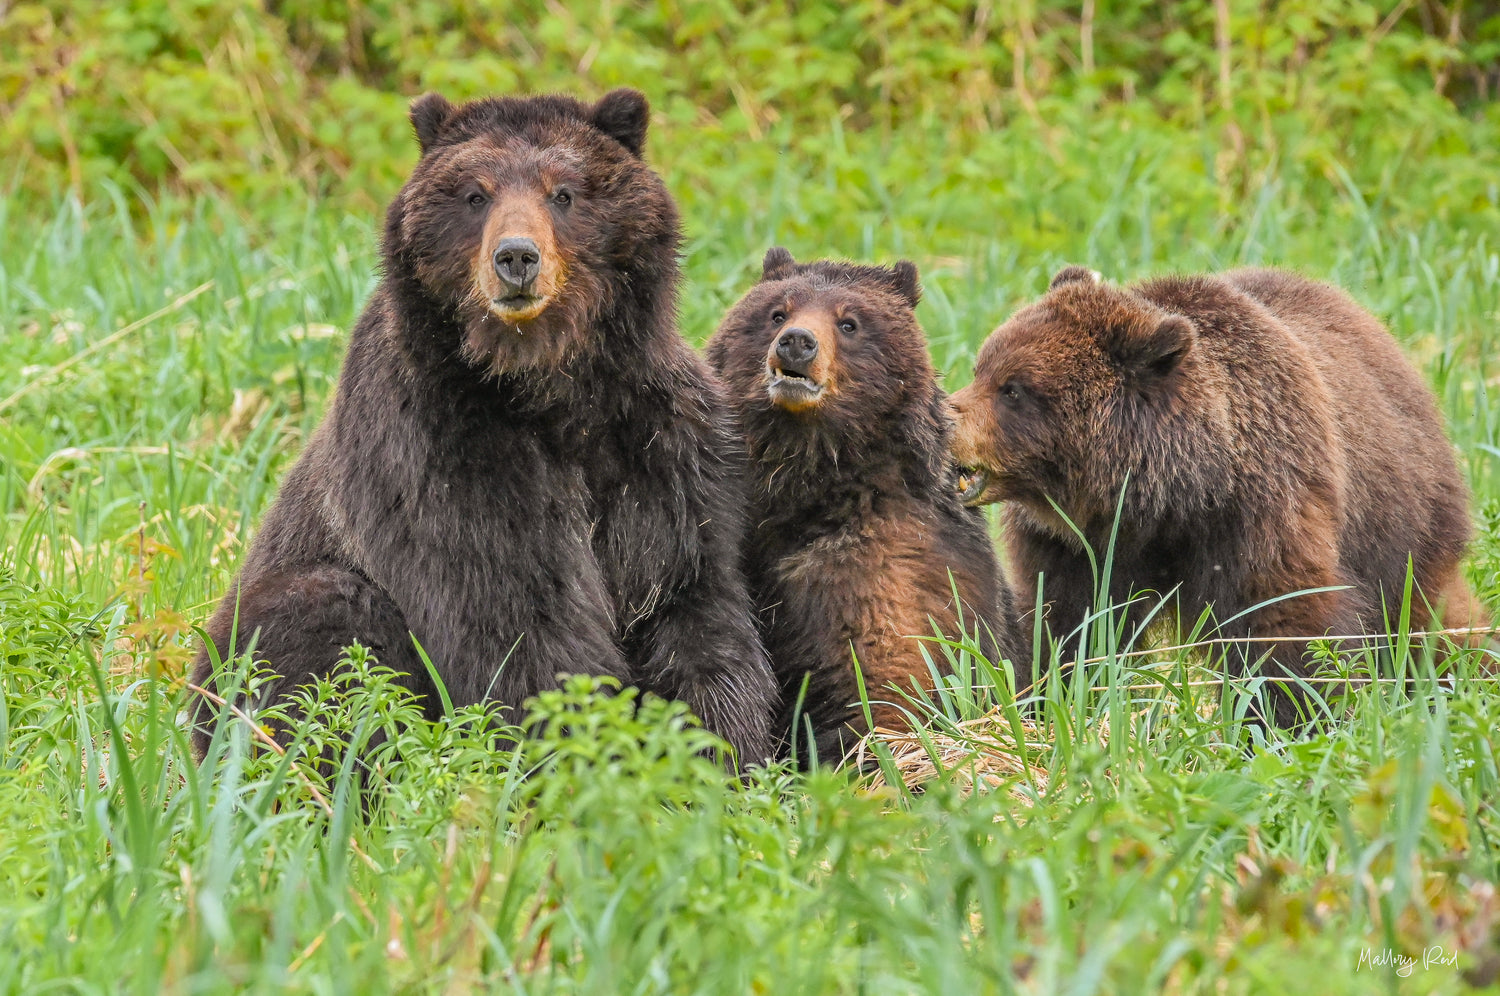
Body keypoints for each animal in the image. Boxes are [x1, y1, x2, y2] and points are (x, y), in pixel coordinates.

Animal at [186, 89, 774, 765]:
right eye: (476, 194)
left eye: (563, 192)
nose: (516, 256)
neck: (546, 387)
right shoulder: (442, 451)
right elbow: (517, 618)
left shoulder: (659, 446)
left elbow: (691, 605)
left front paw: (720, 754)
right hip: (264, 626)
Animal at [948, 267, 1488, 723]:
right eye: (982, 367)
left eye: (1013, 388)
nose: (946, 419)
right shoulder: (1077, 546)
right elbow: (1069, 620)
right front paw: (1050, 698)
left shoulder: (1258, 511)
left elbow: (1280, 622)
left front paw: (1288, 719)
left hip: (1399, 513)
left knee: (1422, 615)